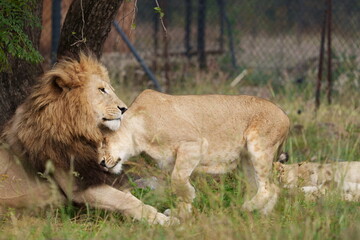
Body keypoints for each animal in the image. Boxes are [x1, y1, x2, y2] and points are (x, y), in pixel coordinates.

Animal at [0, 54, 174, 225]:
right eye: (102, 90)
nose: (124, 109)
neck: (83, 133)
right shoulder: (78, 187)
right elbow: (126, 201)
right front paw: (163, 220)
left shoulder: (97, 174)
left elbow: (130, 197)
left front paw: (168, 213)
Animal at [100, 88, 292, 219]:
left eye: (103, 141)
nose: (101, 162)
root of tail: (285, 115)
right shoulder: (171, 162)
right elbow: (177, 185)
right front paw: (181, 213)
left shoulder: (193, 144)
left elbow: (178, 180)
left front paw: (187, 202)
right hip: (247, 160)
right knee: (264, 187)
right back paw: (259, 215)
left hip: (259, 147)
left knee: (269, 187)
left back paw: (245, 208)